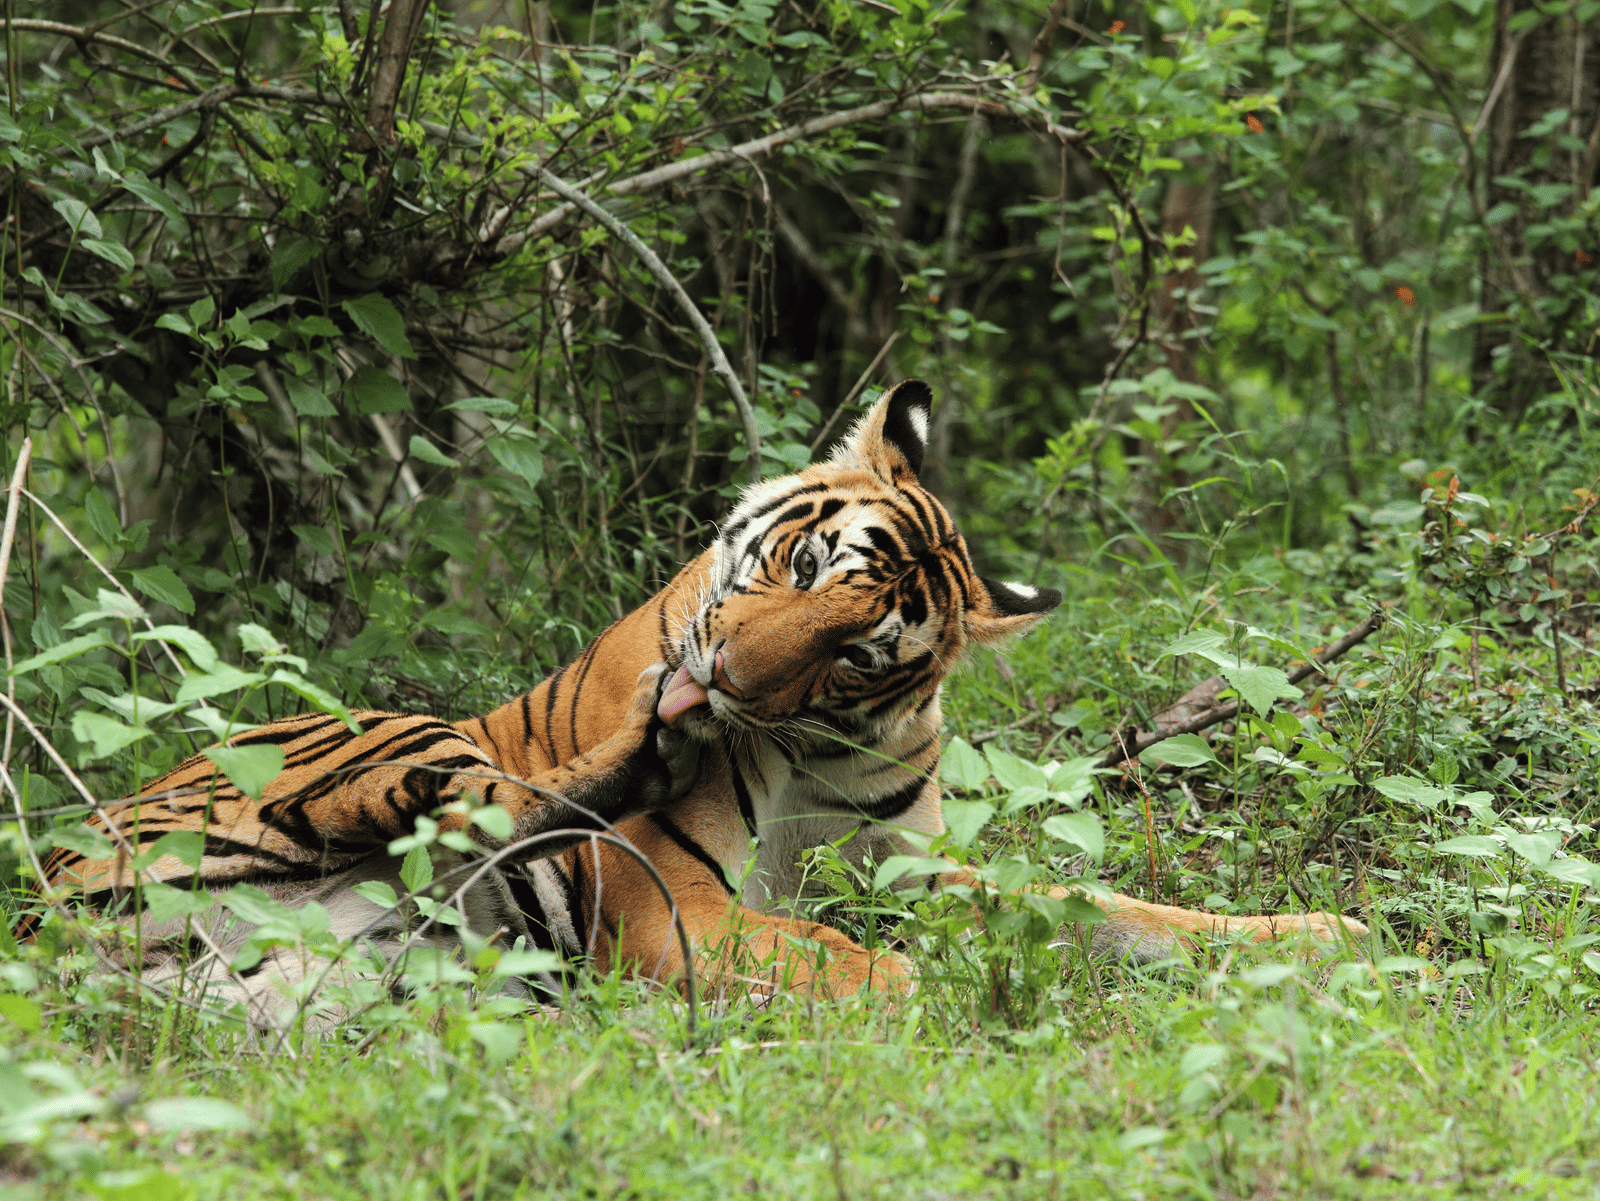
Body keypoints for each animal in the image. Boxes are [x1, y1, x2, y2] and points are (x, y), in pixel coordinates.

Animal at [31, 381, 1366, 1021]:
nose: (714, 678)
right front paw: (913, 989)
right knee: (493, 798)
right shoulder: (666, 902)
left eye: (860, 654)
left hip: (332, 994)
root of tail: (45, 901)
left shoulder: (919, 873)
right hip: (369, 736)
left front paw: (1317, 937)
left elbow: (1106, 908)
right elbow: (852, 957)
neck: (817, 750)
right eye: (807, 565)